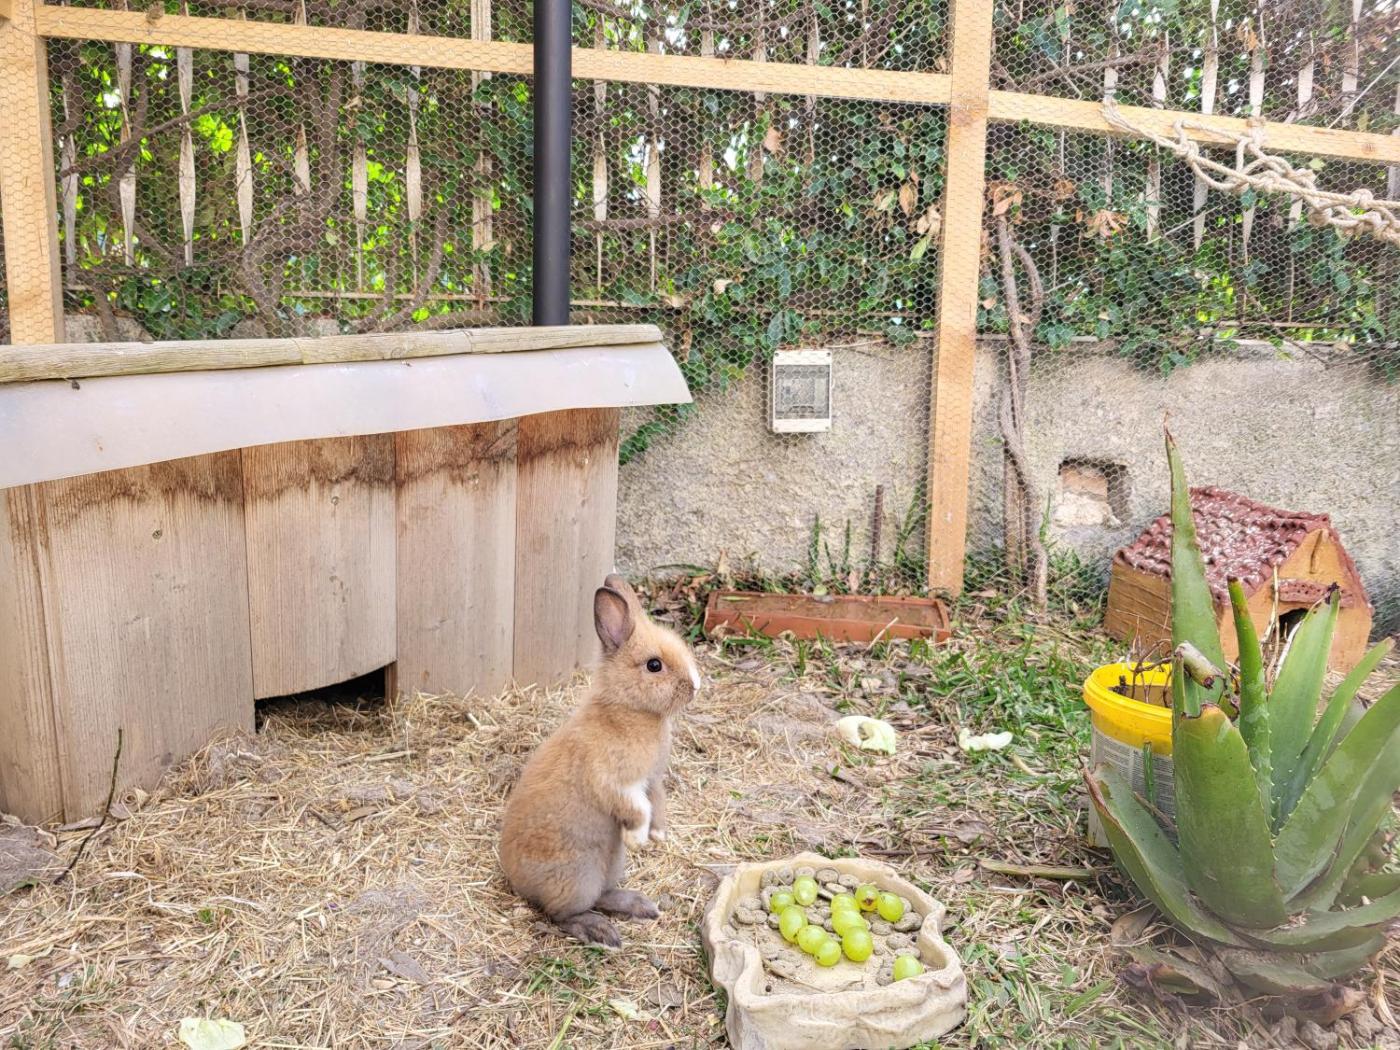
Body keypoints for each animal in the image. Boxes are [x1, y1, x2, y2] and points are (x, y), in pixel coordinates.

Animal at [499, 573, 702, 948]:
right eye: (654, 665)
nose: (695, 686)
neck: (629, 711)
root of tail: (518, 882)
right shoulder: (615, 783)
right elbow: (637, 809)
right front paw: (639, 839)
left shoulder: (653, 782)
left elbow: (658, 805)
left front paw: (659, 836)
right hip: (580, 877)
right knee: (562, 914)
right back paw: (599, 930)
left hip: (610, 866)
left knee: (602, 897)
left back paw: (639, 906)